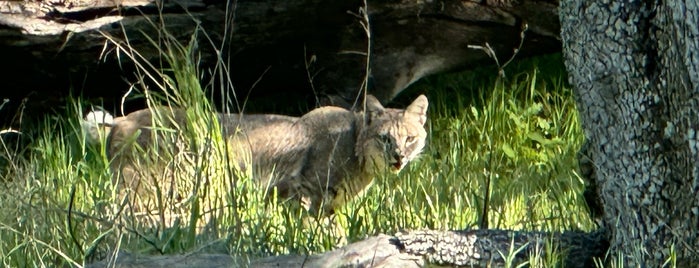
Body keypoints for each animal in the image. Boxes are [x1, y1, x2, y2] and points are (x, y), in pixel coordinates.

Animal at [85, 94, 430, 216]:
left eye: (410, 139)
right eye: (385, 139)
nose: (399, 157)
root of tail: (121, 119)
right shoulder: (305, 191)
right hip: (144, 189)